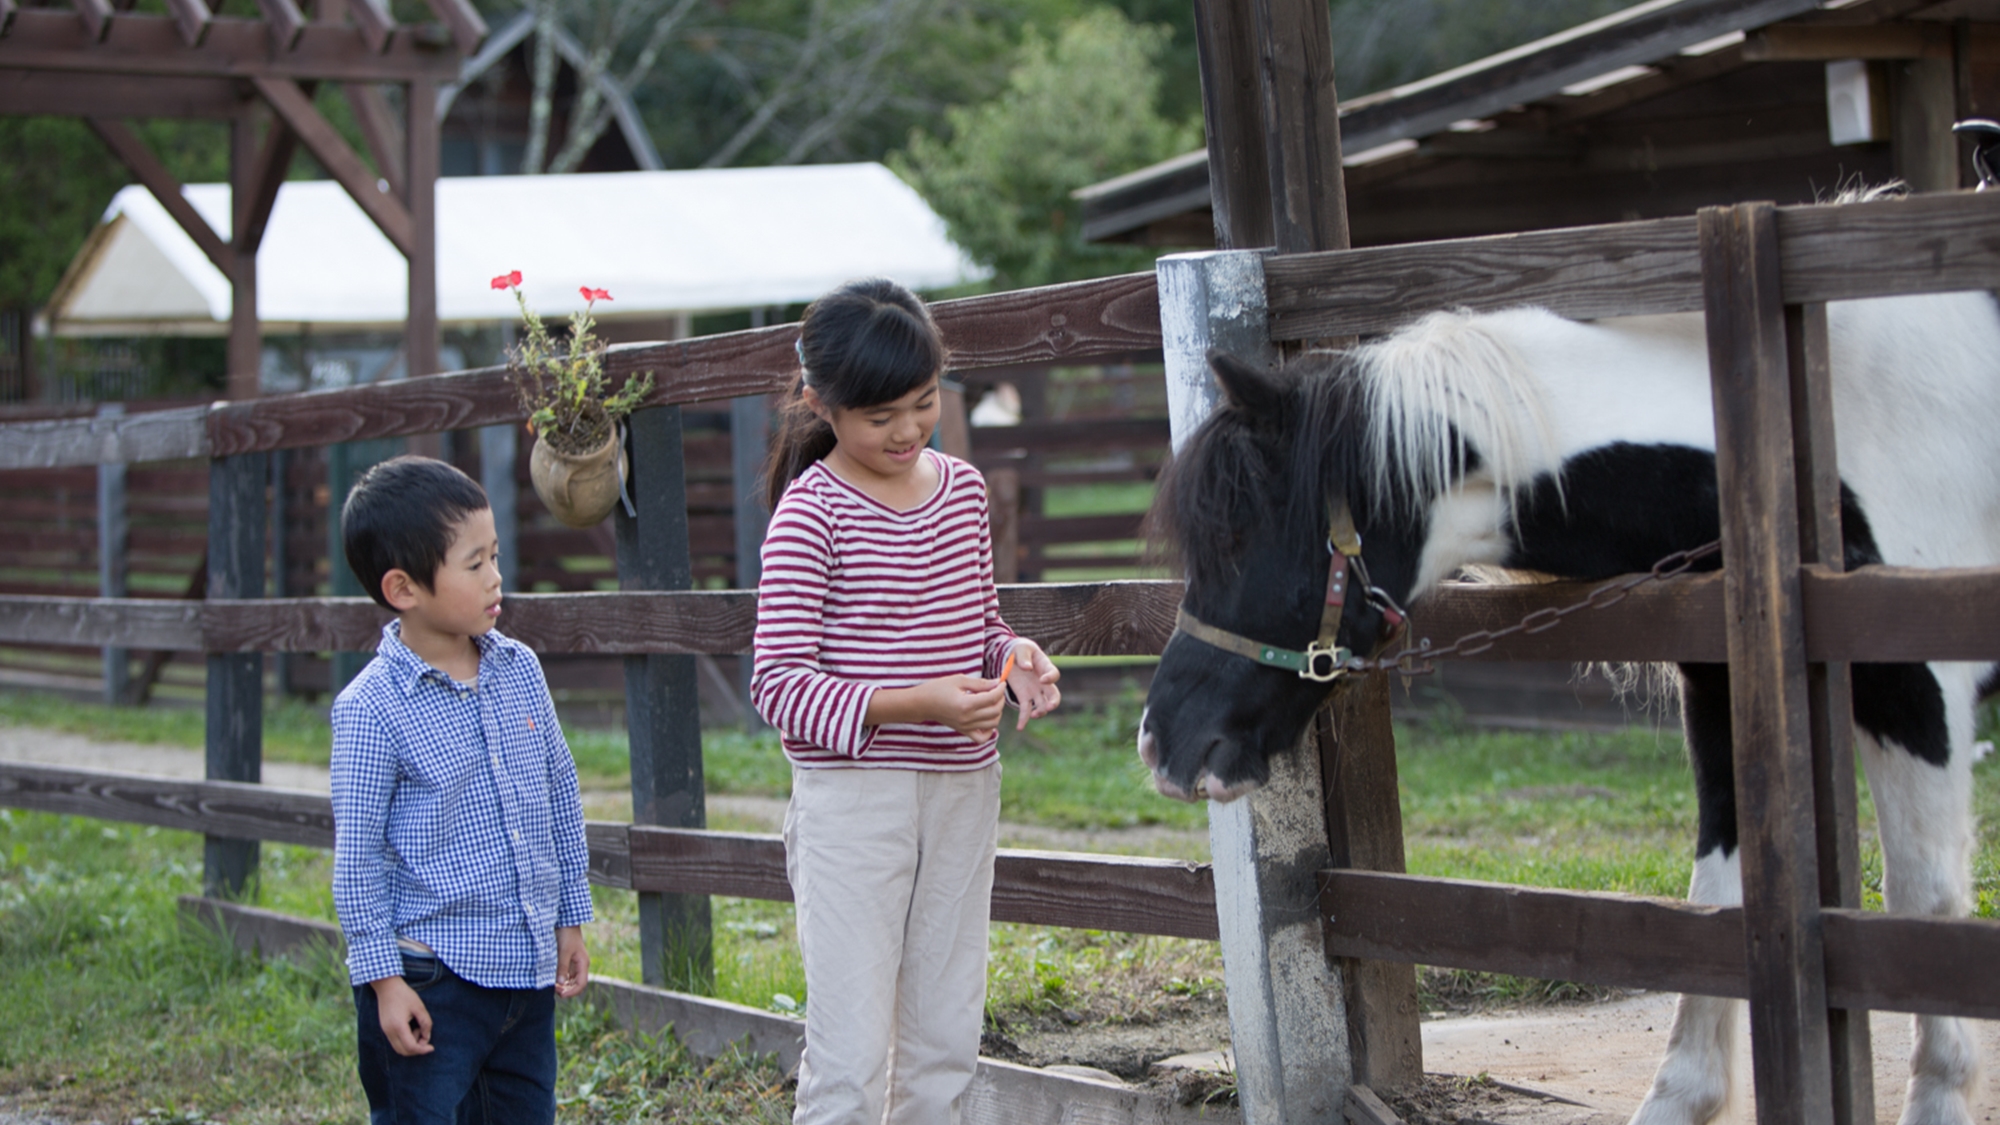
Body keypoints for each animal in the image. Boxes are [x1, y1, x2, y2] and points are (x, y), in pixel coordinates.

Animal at [1144, 290, 2000, 1120]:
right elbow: (1722, 899)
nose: (1161, 742)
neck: (1794, 442)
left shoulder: (1918, 686)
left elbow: (1925, 908)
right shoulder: (1725, 681)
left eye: (1243, 535)